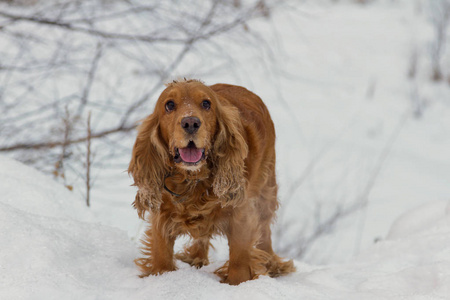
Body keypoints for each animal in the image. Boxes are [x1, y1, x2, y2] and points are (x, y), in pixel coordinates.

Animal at [127, 78, 296, 284]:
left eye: (206, 104)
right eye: (169, 105)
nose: (190, 122)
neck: (192, 181)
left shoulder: (241, 215)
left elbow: (239, 264)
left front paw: (237, 284)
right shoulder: (161, 216)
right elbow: (161, 257)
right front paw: (162, 277)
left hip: (266, 191)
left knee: (265, 232)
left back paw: (272, 266)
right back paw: (196, 258)